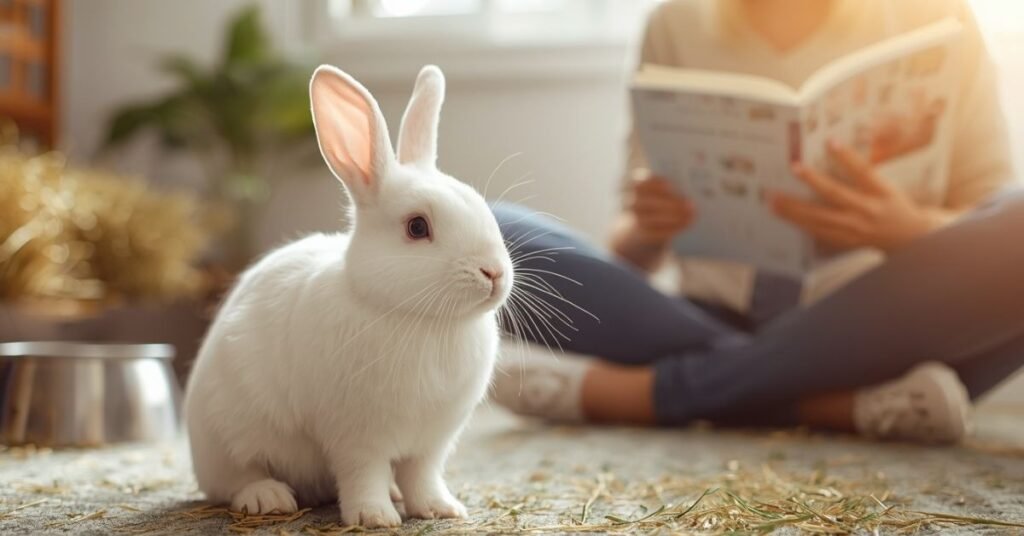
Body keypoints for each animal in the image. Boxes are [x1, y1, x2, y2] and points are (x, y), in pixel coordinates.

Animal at [184, 64, 513, 529]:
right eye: (417, 227)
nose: (495, 273)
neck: (423, 320)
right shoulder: (357, 437)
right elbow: (364, 474)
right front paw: (374, 517)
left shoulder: (430, 443)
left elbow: (422, 476)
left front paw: (441, 509)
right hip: (227, 433)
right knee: (234, 479)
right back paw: (269, 498)